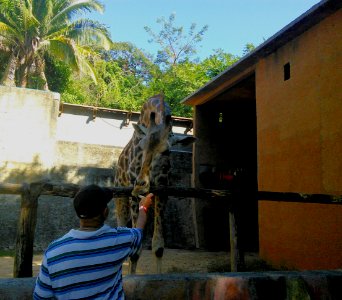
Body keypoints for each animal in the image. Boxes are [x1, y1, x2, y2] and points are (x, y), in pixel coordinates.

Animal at [114, 94, 195, 274]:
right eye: (141, 145)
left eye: (166, 151)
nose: (140, 184)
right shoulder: (132, 195)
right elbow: (135, 249)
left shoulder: (162, 192)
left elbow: (158, 246)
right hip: (120, 194)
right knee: (121, 224)